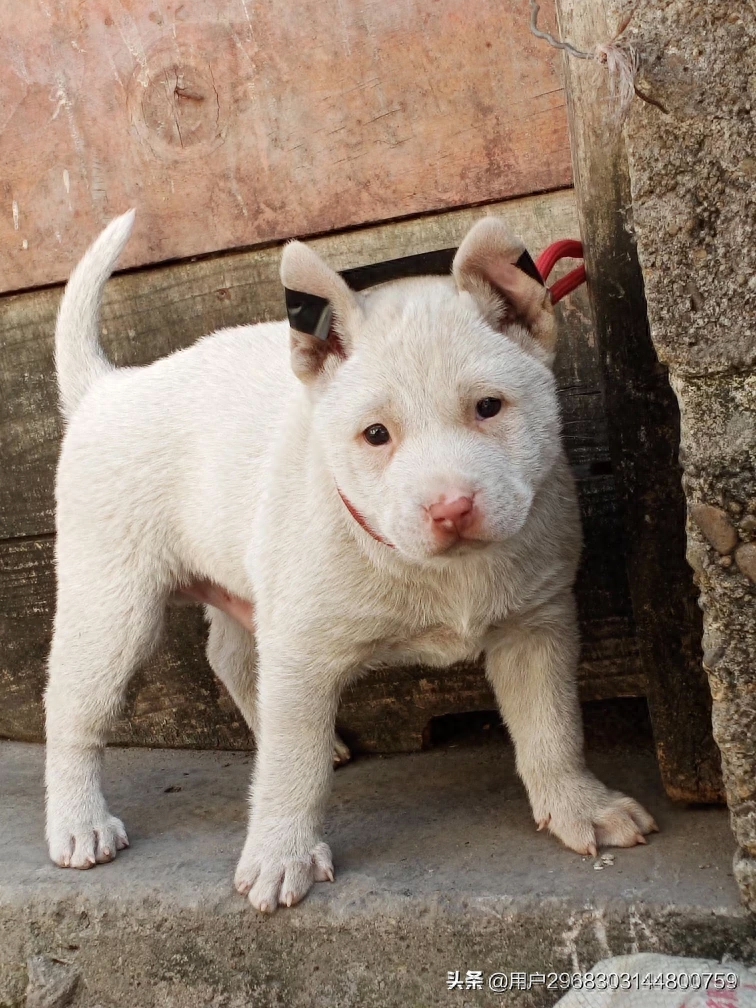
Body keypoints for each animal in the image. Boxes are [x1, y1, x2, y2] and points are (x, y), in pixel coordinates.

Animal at [45, 212, 657, 915]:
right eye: (375, 435)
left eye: (489, 407)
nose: (451, 508)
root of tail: (108, 389)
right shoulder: (302, 650)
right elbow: (292, 765)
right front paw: (281, 853)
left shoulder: (537, 628)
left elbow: (552, 727)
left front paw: (579, 804)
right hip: (112, 603)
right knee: (74, 709)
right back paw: (78, 822)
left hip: (244, 581)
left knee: (230, 660)